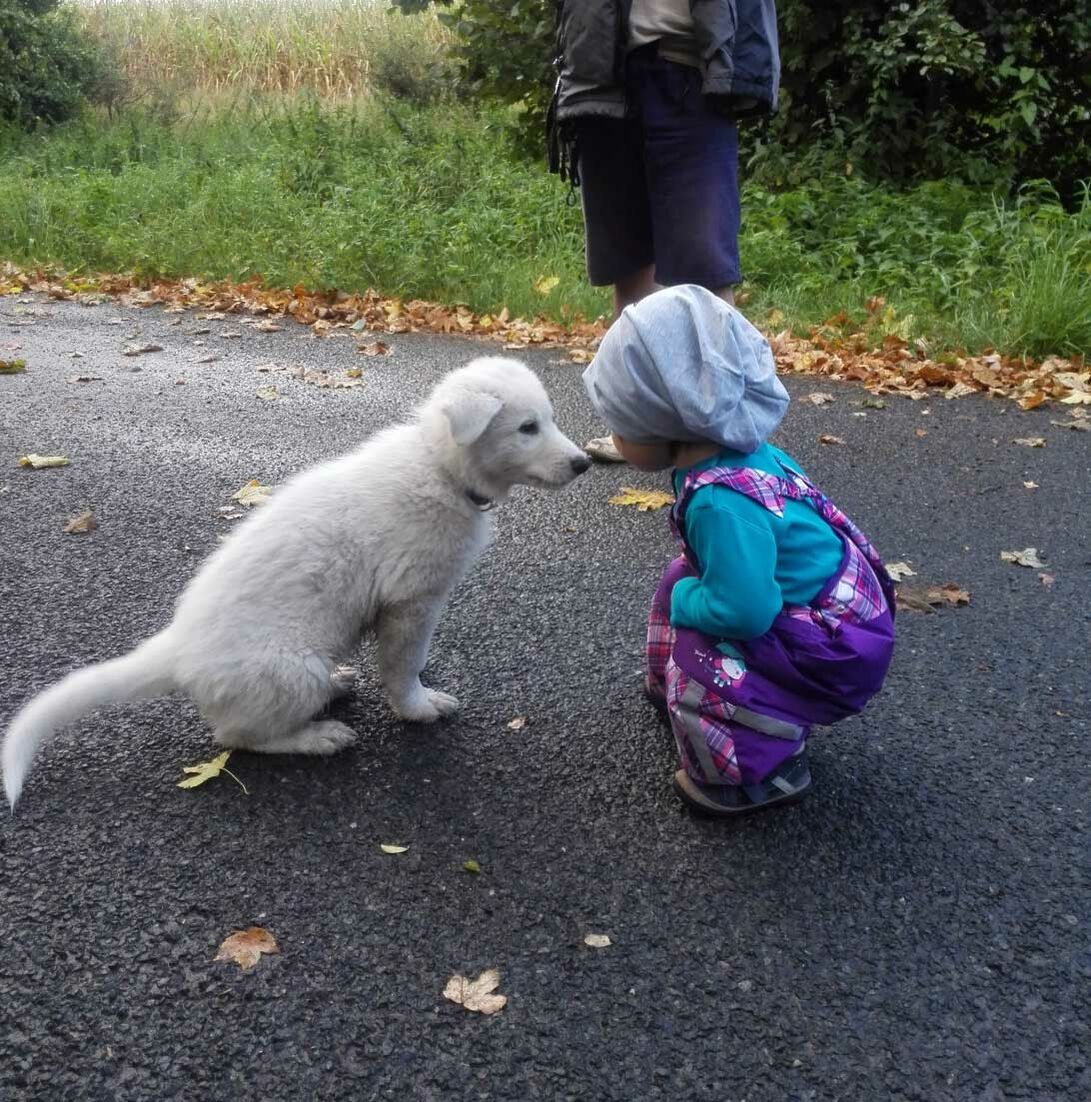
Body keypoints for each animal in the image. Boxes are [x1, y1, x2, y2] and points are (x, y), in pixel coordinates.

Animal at [4, 357, 595, 806]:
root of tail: (175, 649)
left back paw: (336, 689)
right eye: (527, 428)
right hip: (292, 670)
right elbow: (404, 666)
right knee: (238, 736)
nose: (585, 463)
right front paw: (418, 707)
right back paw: (318, 736)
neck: (439, 469)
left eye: (548, 419)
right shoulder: (412, 600)